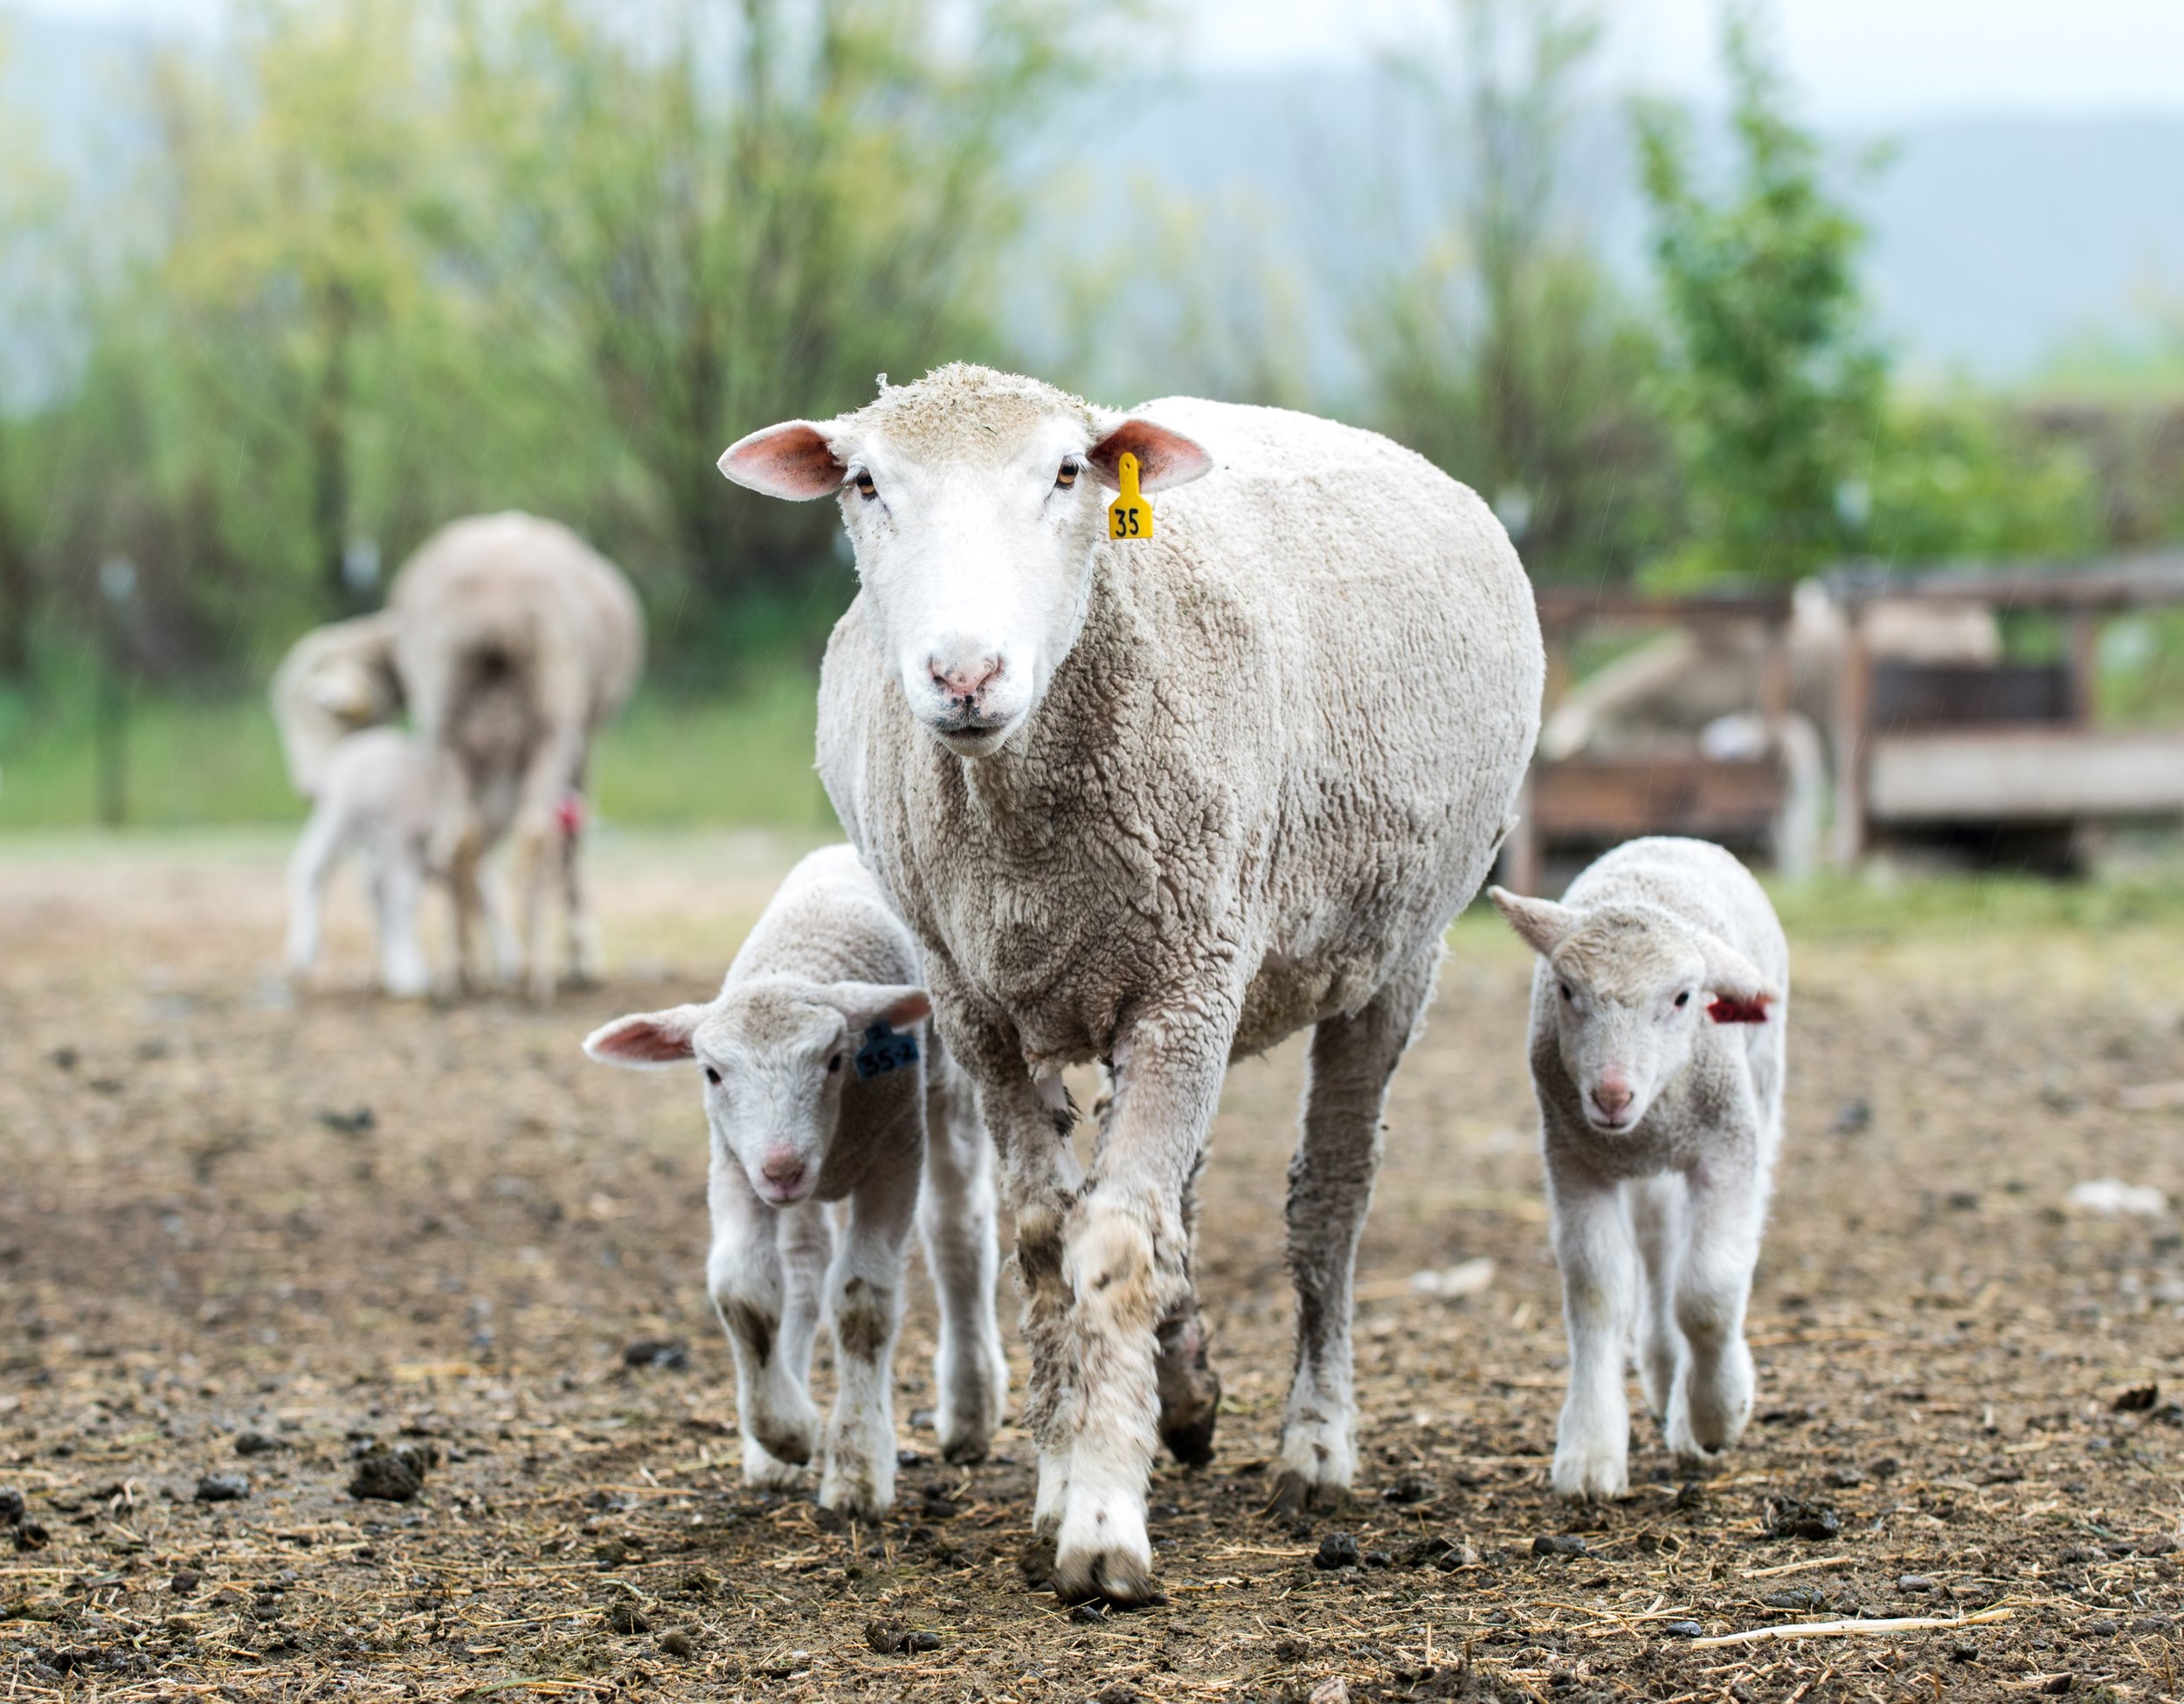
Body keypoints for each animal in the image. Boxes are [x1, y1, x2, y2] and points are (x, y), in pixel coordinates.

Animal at [390, 520, 642, 1001]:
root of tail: (497, 596)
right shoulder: (582, 741)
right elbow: (572, 837)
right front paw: (582, 960)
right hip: (556, 715)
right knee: (537, 831)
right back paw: (533, 973)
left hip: (441, 716)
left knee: (459, 834)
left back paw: (460, 973)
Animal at [590, 848, 1013, 1520]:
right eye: (711, 1073)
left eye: (836, 1060)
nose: (783, 1167)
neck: (803, 955)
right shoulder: (733, 1165)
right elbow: (744, 1289)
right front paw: (783, 1433)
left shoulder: (896, 1152)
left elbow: (864, 1301)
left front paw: (858, 1468)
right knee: (804, 1265)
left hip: (948, 1096)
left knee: (958, 1232)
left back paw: (970, 1411)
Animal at [725, 367, 1546, 1608]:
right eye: (864, 483)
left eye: (1068, 472)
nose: (965, 674)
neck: (1021, 835)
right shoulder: (980, 1007)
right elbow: (1042, 1237)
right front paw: (1066, 1469)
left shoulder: (1186, 982)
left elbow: (1111, 1246)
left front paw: (1104, 1524)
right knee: (1180, 1202)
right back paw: (1186, 1391)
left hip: (1387, 954)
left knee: (1328, 1201)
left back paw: (1314, 1445)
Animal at [1485, 839, 1791, 1503]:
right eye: (1566, 990)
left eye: (1682, 998)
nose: (1611, 1094)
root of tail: (1667, 841)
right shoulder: (1573, 1156)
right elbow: (1599, 1289)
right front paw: (1590, 1453)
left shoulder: (1727, 1149)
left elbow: (1708, 1292)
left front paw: (1715, 1414)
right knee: (1656, 1246)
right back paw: (1663, 1372)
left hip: (1758, 1094)